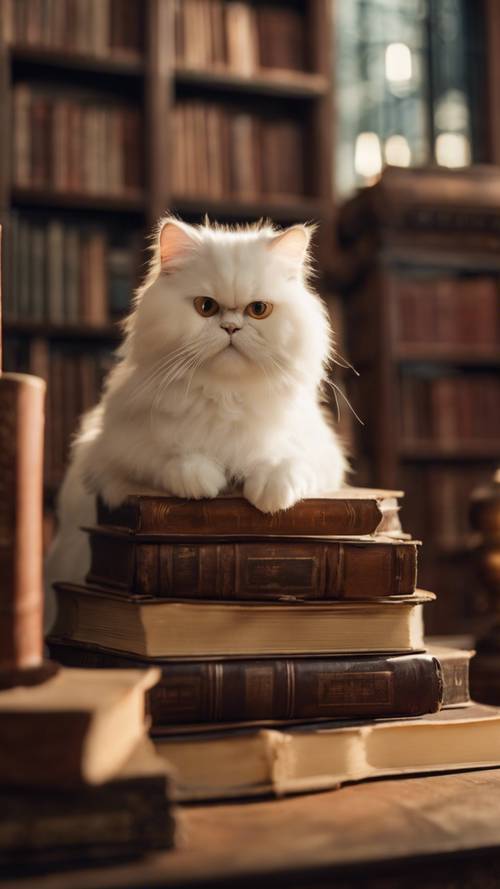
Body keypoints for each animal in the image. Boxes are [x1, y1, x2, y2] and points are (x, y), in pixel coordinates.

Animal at [46, 219, 348, 624]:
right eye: (206, 307)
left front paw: (270, 494)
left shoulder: (324, 456)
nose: (232, 328)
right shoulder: (109, 455)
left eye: (258, 310)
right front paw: (202, 481)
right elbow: (169, 457)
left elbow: (285, 463)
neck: (225, 396)